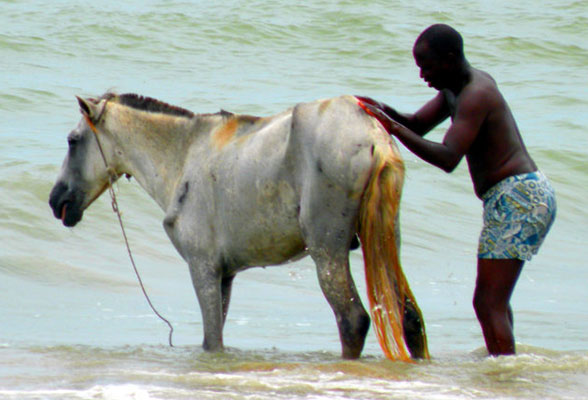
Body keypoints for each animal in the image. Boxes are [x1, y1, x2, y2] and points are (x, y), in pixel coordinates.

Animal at [48, 92, 430, 360]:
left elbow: (212, 340)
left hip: (327, 250)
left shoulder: (202, 267)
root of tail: (372, 134)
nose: (55, 200)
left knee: (352, 320)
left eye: (72, 140)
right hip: (385, 239)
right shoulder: (225, 274)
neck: (182, 157)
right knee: (409, 317)